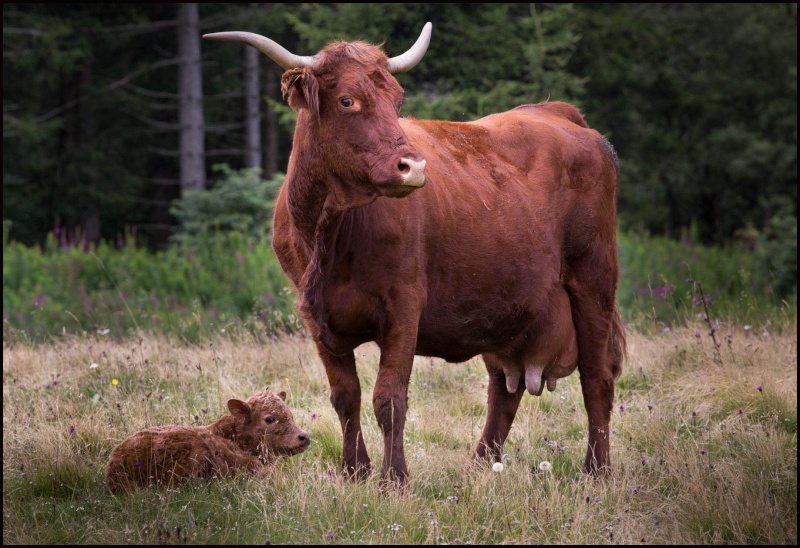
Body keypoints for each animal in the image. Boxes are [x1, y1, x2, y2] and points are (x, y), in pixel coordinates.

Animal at [205, 22, 624, 484]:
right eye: (347, 100)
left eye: (397, 100)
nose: (413, 167)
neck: (329, 232)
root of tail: (556, 112)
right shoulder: (316, 315)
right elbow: (345, 396)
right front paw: (354, 472)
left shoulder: (404, 305)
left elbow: (389, 399)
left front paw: (395, 479)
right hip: (507, 305)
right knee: (504, 388)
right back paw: (481, 467)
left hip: (594, 280)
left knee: (597, 378)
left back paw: (597, 471)